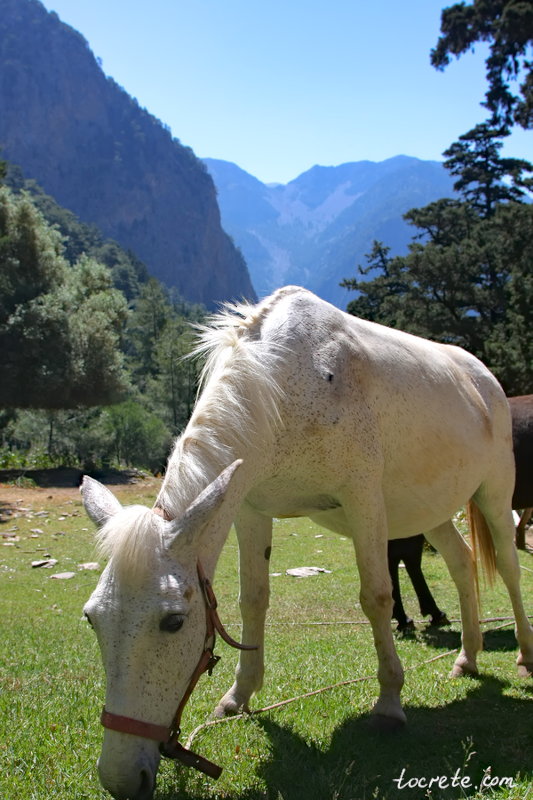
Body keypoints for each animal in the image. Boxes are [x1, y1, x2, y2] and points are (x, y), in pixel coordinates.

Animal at [80, 288, 532, 800]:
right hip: (429, 510)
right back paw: (467, 658)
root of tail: (485, 379)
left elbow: (376, 597)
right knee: (461, 563)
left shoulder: (363, 497)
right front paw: (238, 696)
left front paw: (389, 703)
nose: (120, 777)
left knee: (510, 568)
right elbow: (253, 599)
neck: (282, 382)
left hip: (494, 494)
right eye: (93, 619)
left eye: (173, 622)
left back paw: (524, 655)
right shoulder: (249, 508)